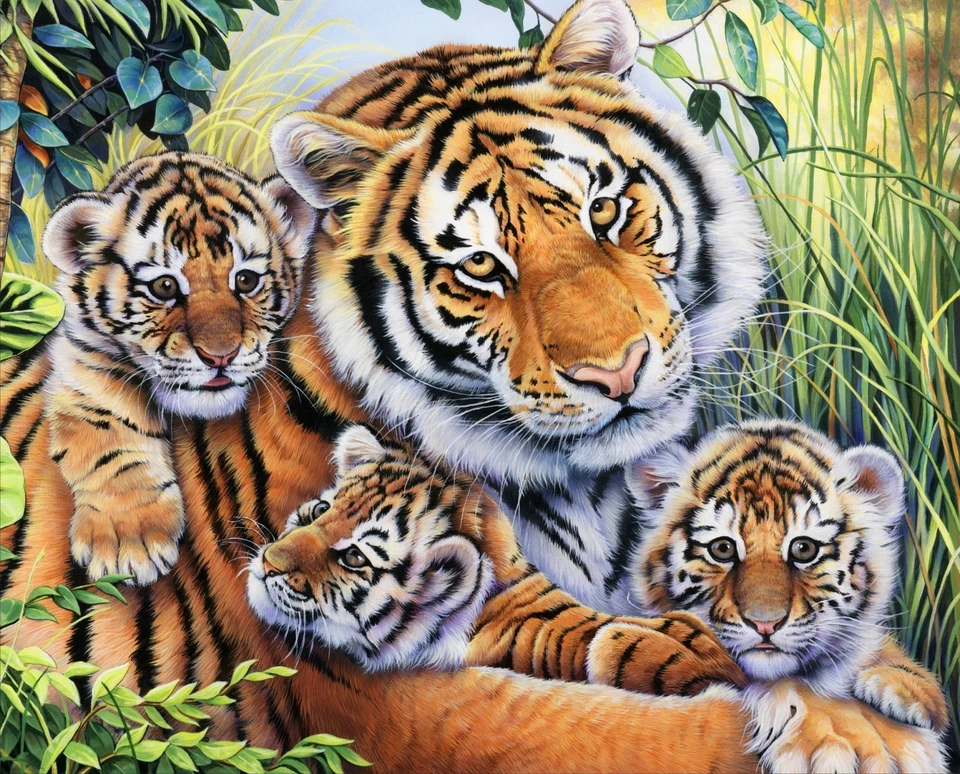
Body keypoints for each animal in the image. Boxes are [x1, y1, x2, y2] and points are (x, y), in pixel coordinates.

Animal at [41, 152, 315, 584]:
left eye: (246, 280)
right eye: (165, 287)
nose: (220, 356)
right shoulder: (84, 362)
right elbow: (107, 437)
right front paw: (128, 542)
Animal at [613, 419, 950, 772]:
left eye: (804, 549)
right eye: (722, 549)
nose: (765, 624)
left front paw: (905, 686)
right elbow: (797, 689)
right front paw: (848, 742)